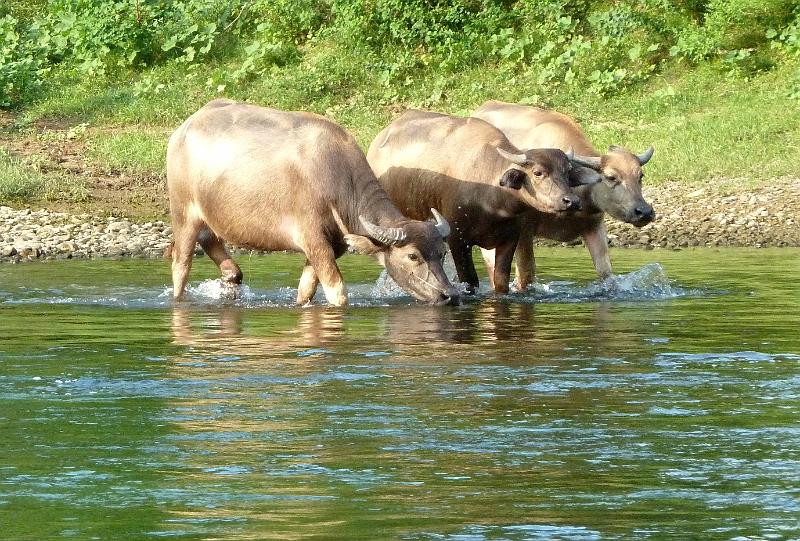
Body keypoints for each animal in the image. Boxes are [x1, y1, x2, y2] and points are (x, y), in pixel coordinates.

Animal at [166, 99, 460, 306]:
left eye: (442, 252)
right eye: (412, 255)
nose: (449, 294)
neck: (337, 182)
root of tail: (183, 129)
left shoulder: (329, 248)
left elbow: (305, 291)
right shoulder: (314, 241)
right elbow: (338, 292)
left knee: (215, 246)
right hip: (183, 214)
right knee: (181, 265)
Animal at [366, 110, 596, 296]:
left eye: (567, 172)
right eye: (538, 172)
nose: (571, 201)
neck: (493, 201)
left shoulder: (509, 240)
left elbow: (501, 283)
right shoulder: (458, 241)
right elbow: (470, 282)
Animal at [472, 99, 652, 288]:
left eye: (640, 175)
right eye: (611, 177)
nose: (644, 211)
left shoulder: (595, 227)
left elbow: (606, 273)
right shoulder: (524, 231)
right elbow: (526, 275)